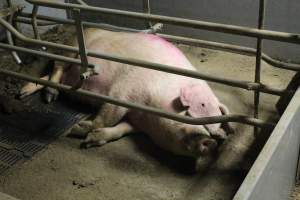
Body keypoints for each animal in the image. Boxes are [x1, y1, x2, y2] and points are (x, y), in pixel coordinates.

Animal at [19, 27, 233, 167]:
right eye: (196, 116)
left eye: (217, 129)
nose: (213, 142)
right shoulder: (122, 92)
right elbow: (106, 118)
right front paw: (76, 129)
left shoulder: (136, 121)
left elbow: (120, 129)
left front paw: (90, 140)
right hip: (71, 48)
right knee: (57, 66)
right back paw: (48, 97)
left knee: (54, 76)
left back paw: (24, 93)